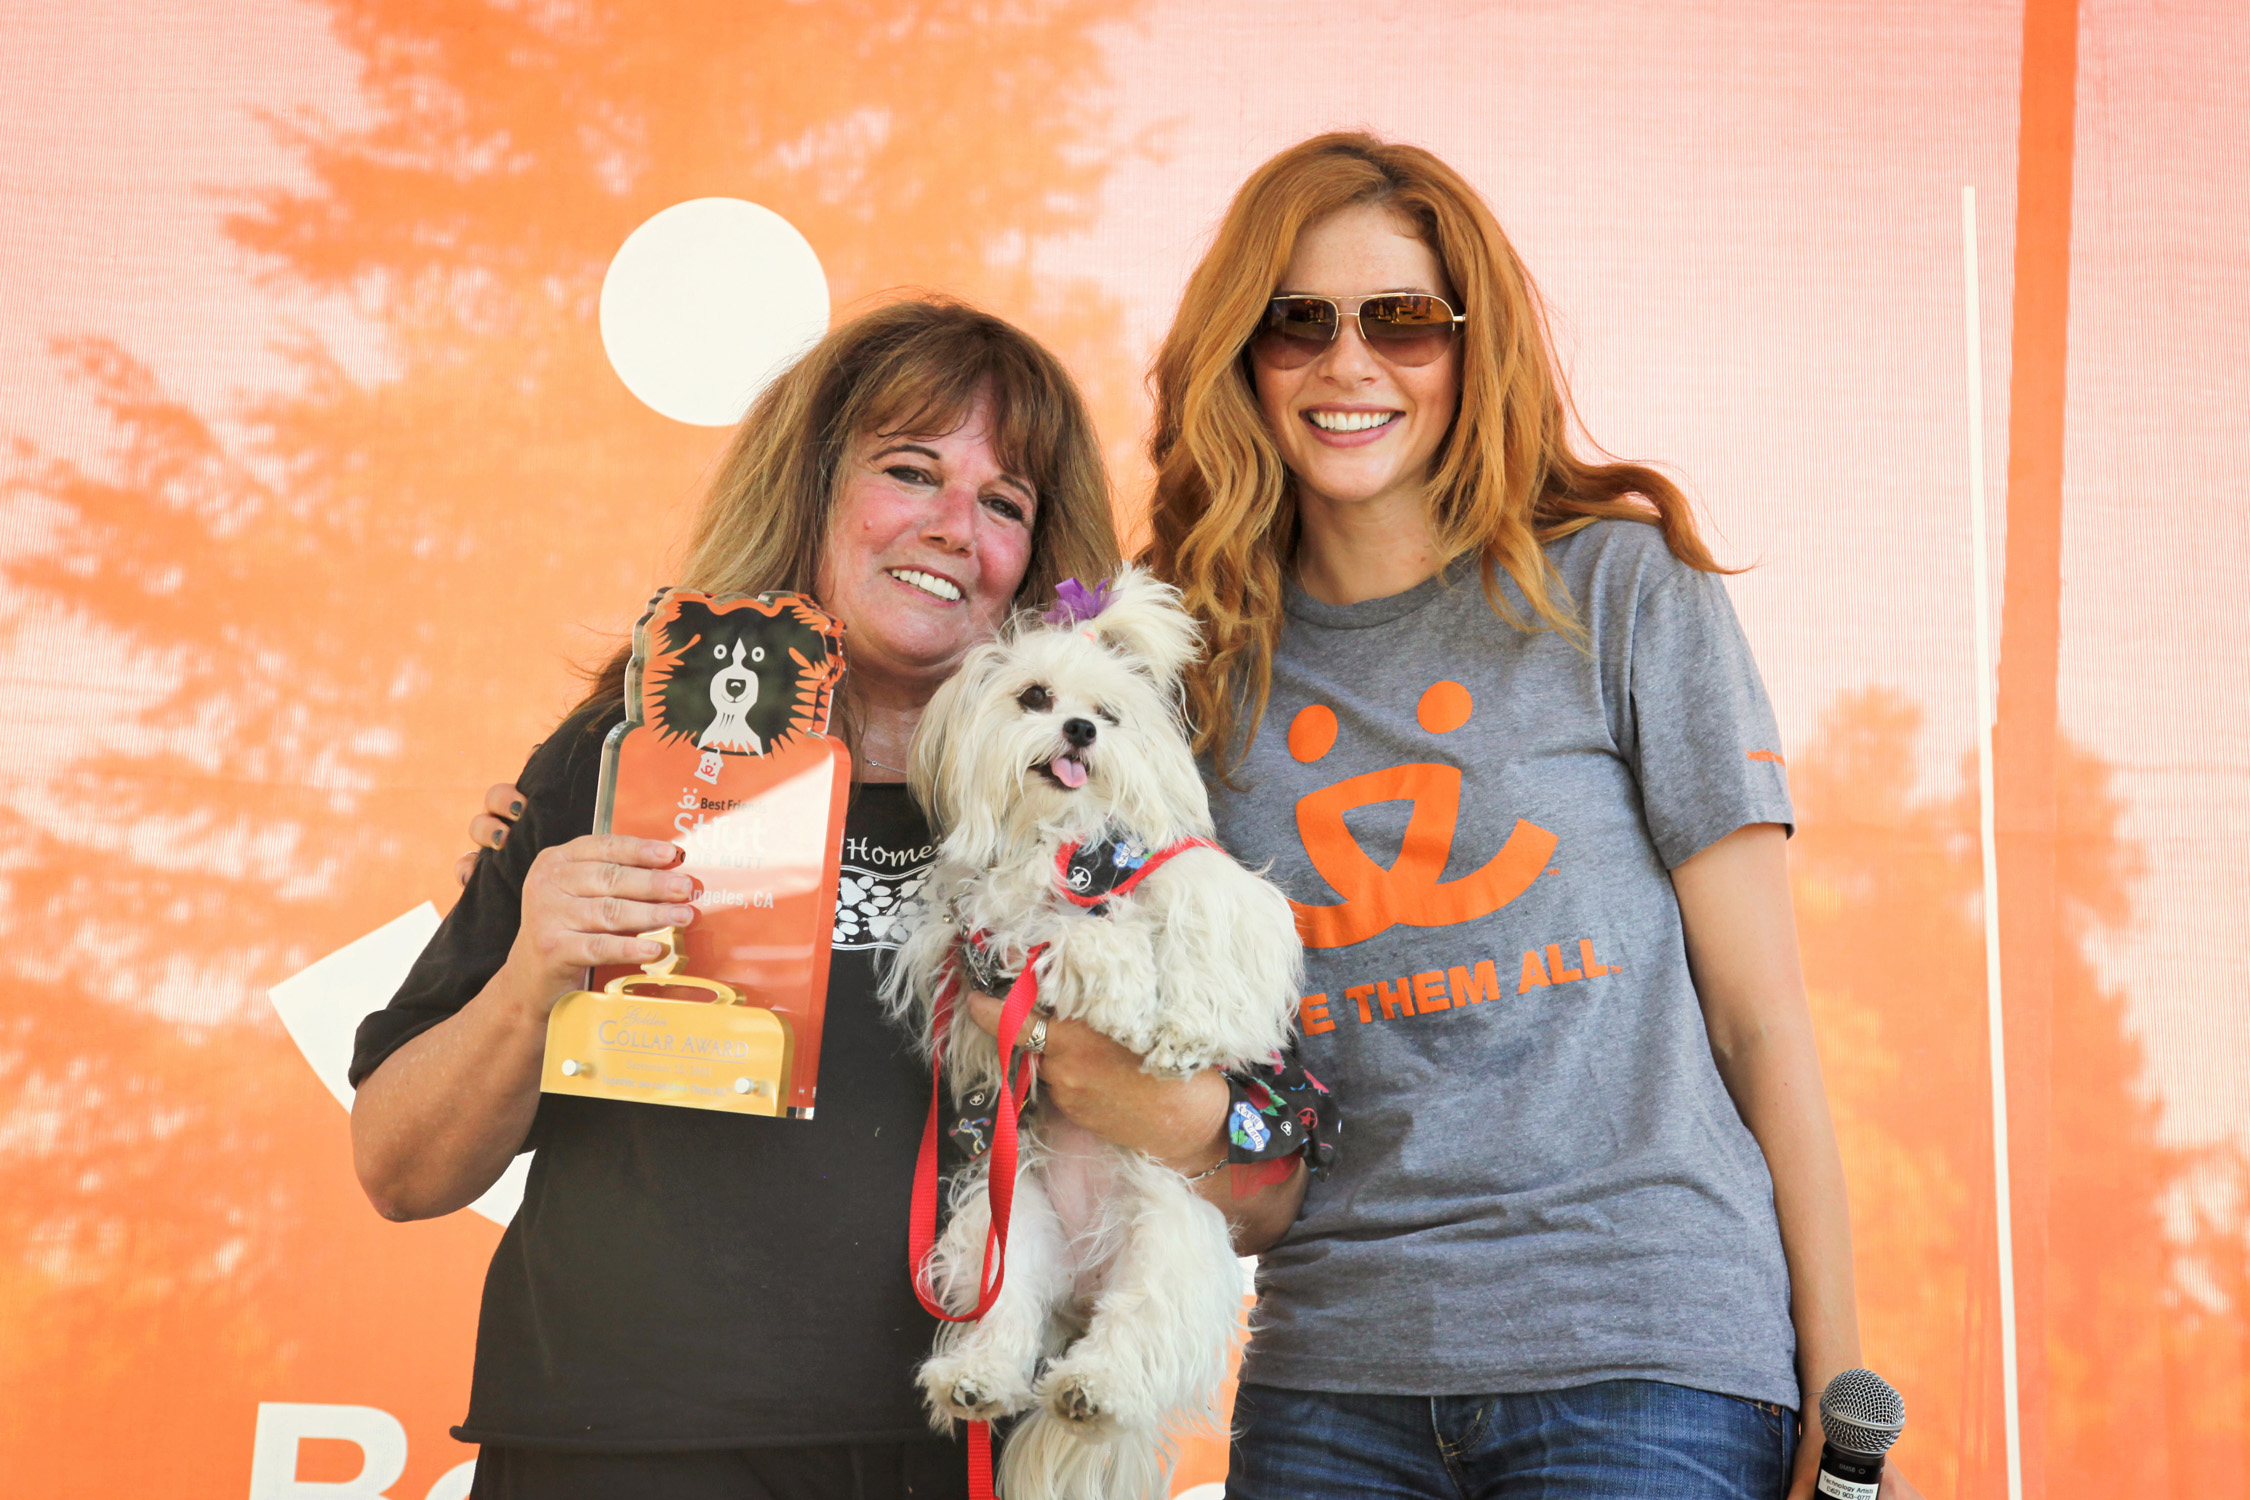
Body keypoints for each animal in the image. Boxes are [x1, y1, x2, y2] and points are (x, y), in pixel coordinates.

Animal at [882, 566, 1305, 1500]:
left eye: (1107, 716)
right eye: (1035, 696)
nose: (1078, 729)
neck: (1064, 844)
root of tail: (1084, 1279)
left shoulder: (1202, 887)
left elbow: (1185, 943)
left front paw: (1167, 1024)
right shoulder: (980, 943)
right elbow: (1051, 935)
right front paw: (1106, 977)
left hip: (1169, 1233)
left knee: (1138, 1330)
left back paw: (1095, 1388)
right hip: (1004, 1223)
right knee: (1008, 1316)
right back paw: (976, 1378)